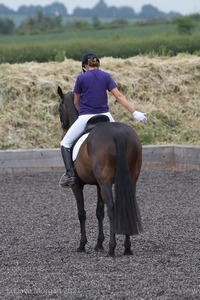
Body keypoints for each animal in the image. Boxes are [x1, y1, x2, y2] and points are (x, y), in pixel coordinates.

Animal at [57, 85, 143, 256]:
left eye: (59, 109)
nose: (64, 130)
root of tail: (119, 132)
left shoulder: (78, 186)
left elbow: (82, 213)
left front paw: (82, 245)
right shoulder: (98, 185)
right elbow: (99, 212)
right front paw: (98, 244)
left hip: (105, 183)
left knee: (112, 208)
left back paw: (112, 248)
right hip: (129, 179)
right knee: (127, 204)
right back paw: (127, 247)